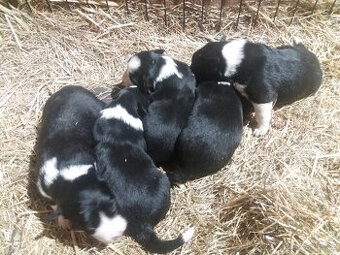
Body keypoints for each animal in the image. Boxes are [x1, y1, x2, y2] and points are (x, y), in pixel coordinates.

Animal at [35, 85, 126, 243]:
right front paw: (63, 222)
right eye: (89, 225)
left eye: (114, 205)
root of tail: (70, 87)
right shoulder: (43, 187)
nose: (118, 233)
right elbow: (55, 205)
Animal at [191, 38, 322, 136]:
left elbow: (262, 114)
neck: (237, 61)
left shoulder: (262, 95)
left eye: (197, 66)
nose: (190, 70)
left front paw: (260, 130)